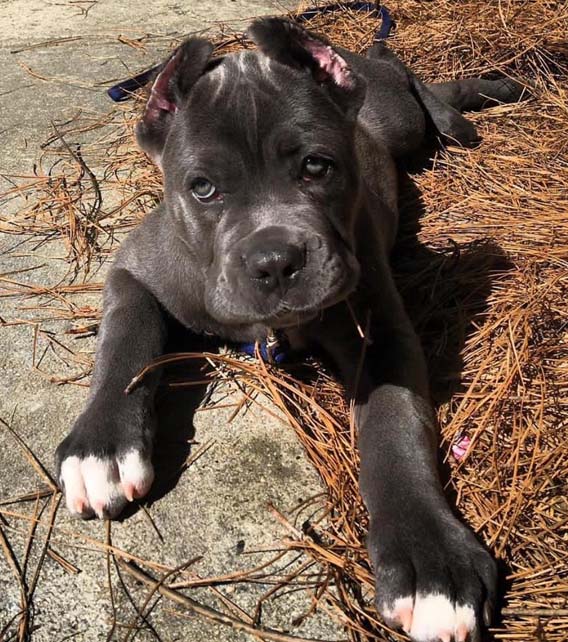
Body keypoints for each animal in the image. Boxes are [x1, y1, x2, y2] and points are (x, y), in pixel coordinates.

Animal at [55, 18, 524, 640]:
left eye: (317, 166)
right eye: (202, 187)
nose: (275, 261)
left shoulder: (383, 335)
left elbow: (395, 427)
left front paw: (431, 560)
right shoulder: (135, 270)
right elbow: (124, 344)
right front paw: (101, 447)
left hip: (397, 117)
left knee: (411, 79)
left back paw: (478, 102)